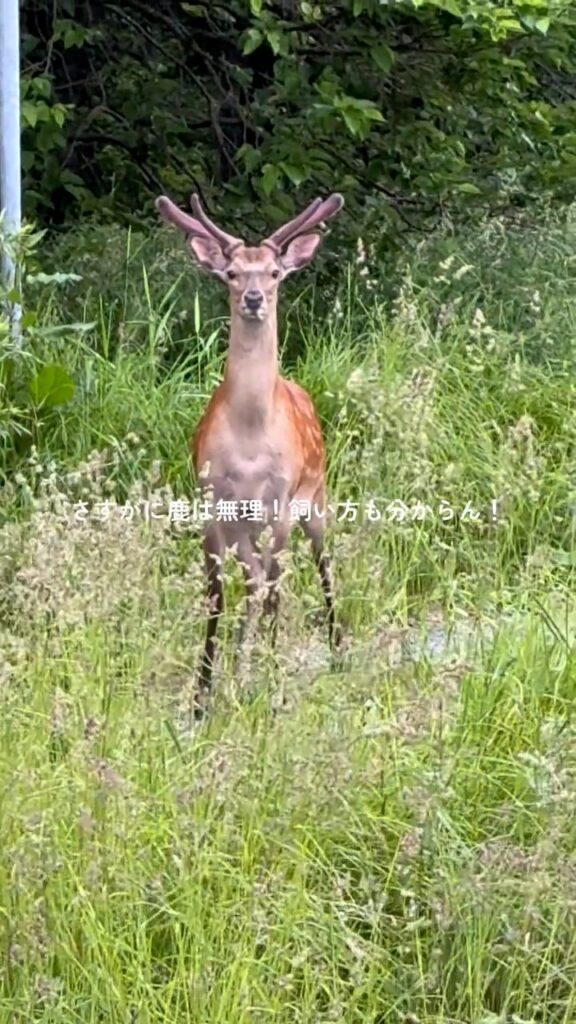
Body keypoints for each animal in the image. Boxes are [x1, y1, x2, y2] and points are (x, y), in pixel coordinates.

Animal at [155, 189, 345, 716]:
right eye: (232, 272)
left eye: (275, 272)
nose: (255, 298)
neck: (249, 443)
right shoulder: (214, 501)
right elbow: (219, 593)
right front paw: (203, 695)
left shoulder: (279, 502)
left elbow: (275, 588)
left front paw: (274, 688)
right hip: (250, 522)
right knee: (256, 581)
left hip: (316, 497)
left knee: (321, 568)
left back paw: (337, 651)